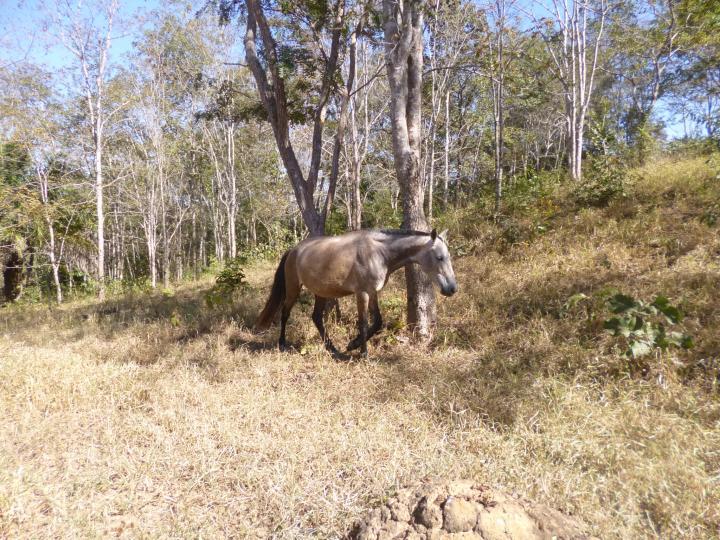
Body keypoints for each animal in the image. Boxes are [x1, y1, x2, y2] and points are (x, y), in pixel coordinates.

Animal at [256, 228, 458, 358]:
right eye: (439, 257)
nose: (452, 289)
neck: (379, 253)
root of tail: (294, 250)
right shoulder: (362, 294)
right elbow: (364, 322)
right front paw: (363, 353)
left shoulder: (373, 292)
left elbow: (378, 322)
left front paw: (352, 345)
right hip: (293, 289)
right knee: (285, 313)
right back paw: (282, 344)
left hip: (321, 293)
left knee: (317, 318)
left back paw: (333, 349)